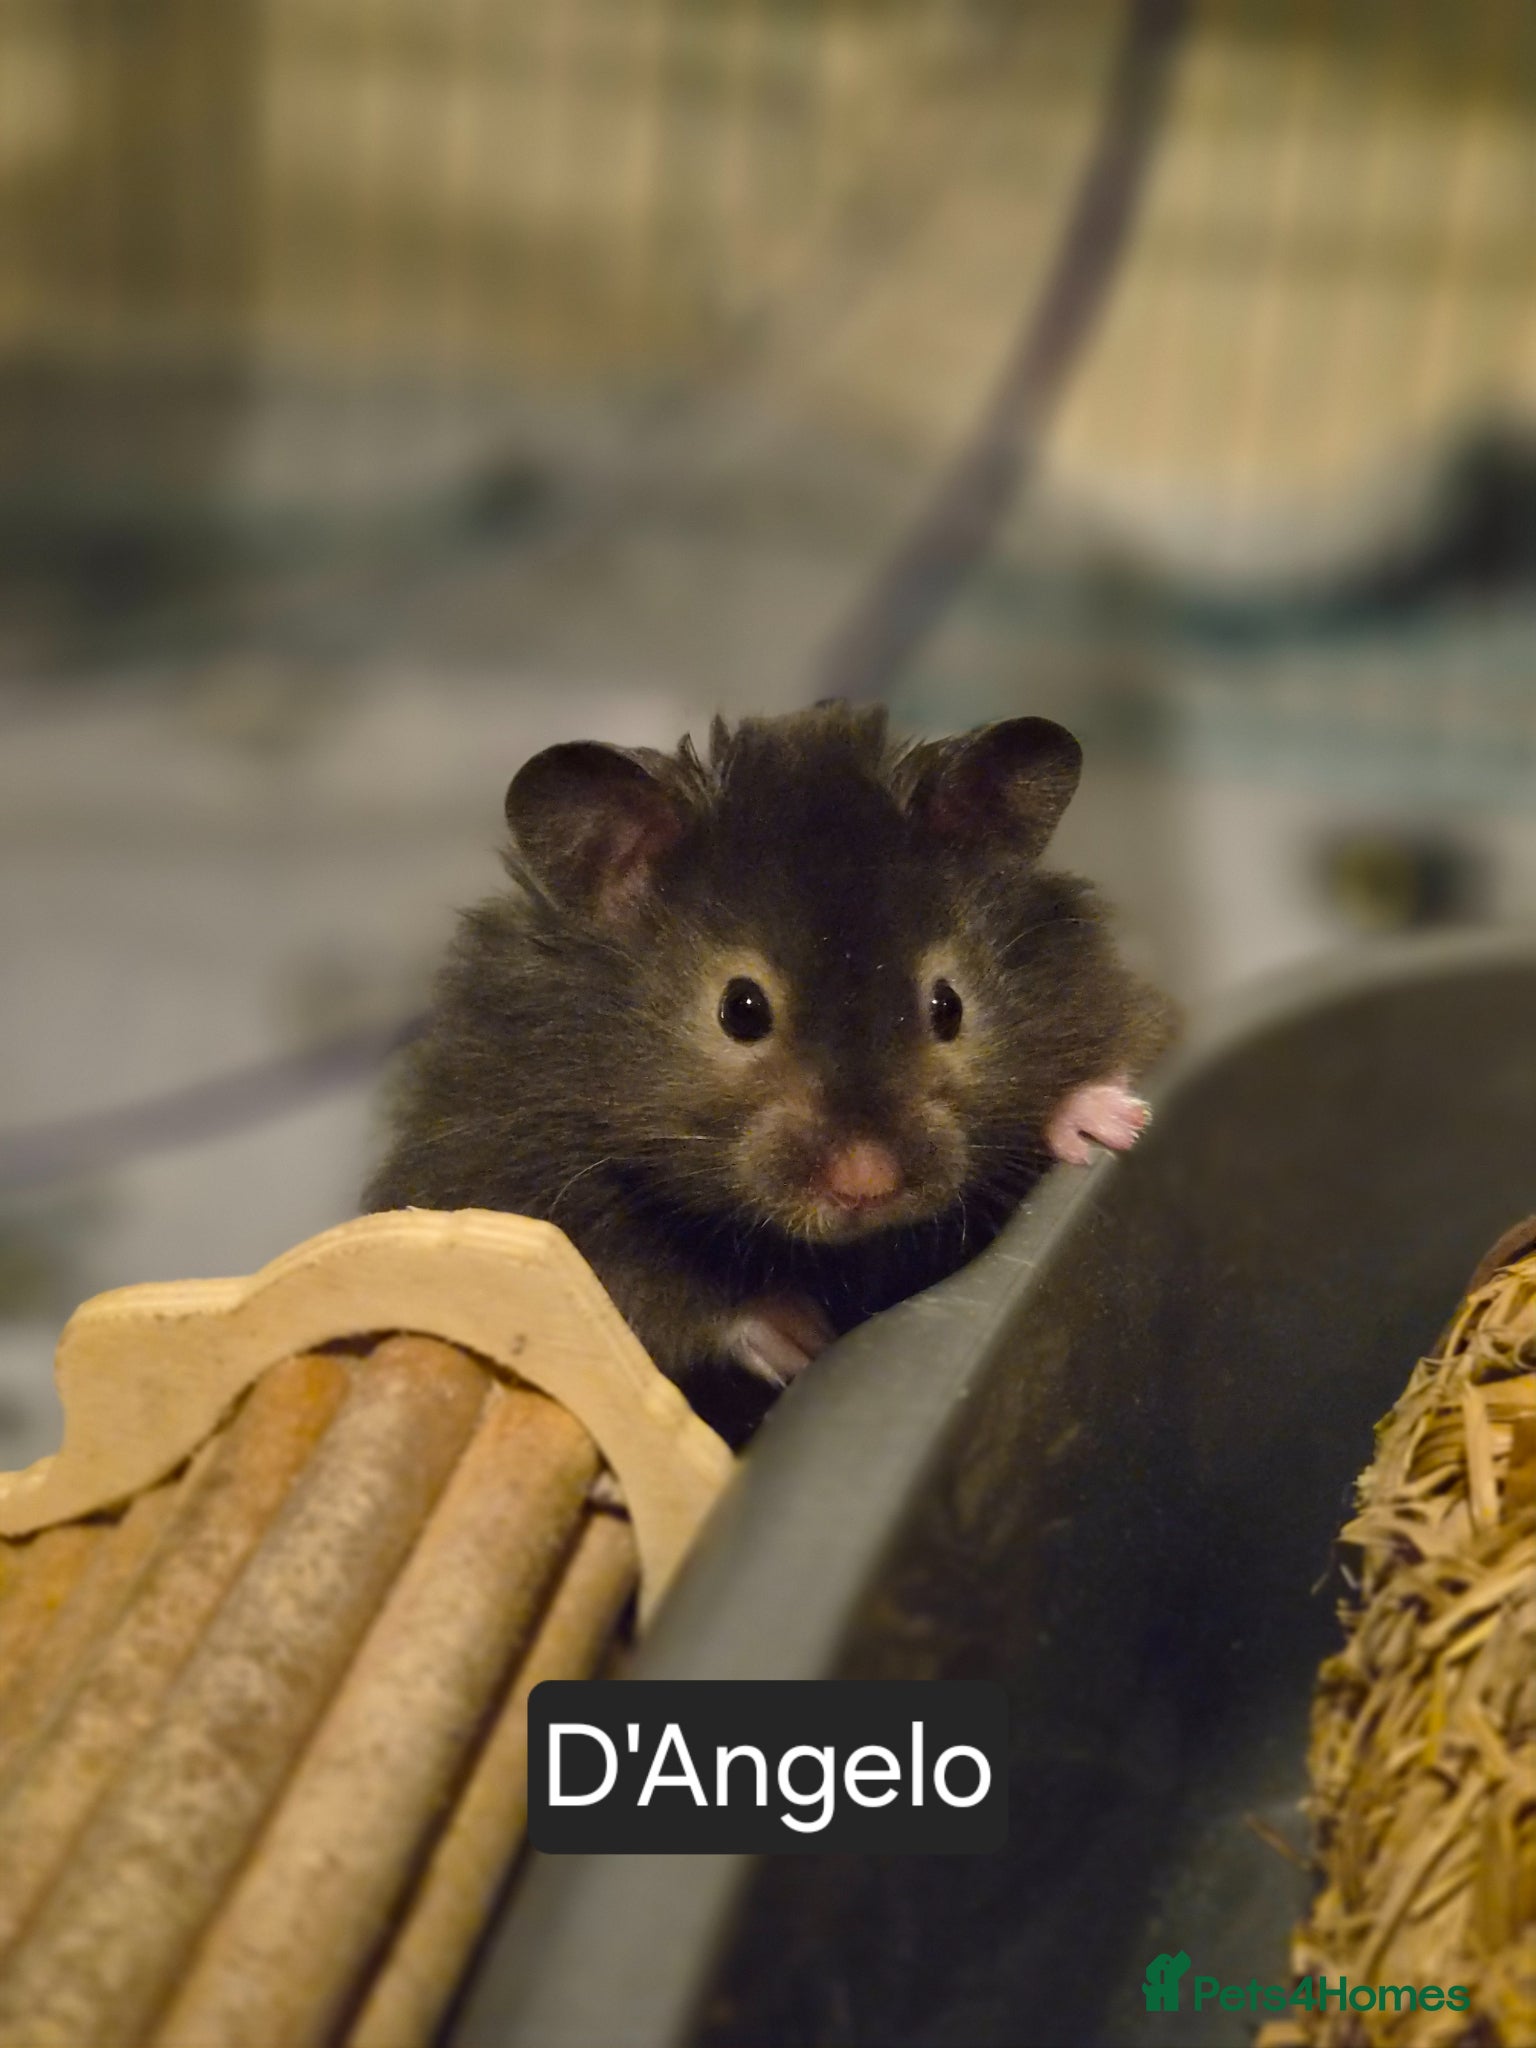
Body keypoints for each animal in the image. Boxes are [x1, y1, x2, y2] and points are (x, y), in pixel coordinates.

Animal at [364, 703, 1175, 1438]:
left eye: (948, 1007)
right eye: (741, 1010)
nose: (866, 1183)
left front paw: (1112, 1123)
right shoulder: (515, 1182)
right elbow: (649, 1289)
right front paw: (800, 1337)